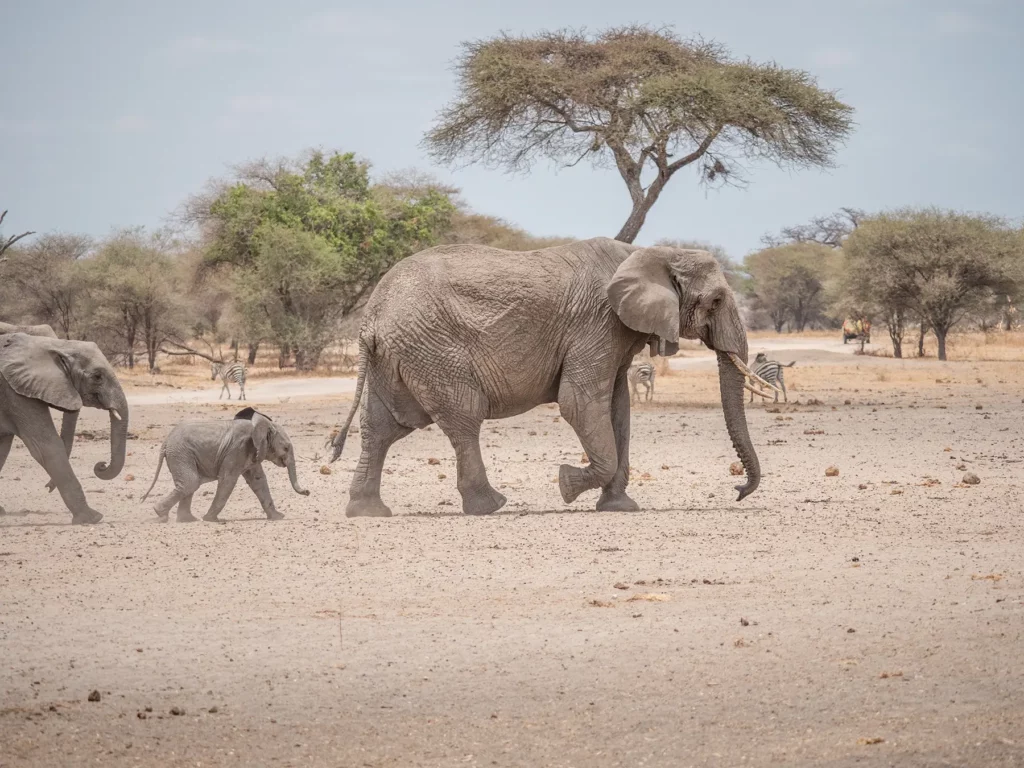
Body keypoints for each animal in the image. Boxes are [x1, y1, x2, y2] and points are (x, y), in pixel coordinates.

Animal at [0, 332, 129, 523]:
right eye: (97, 376)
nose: (101, 465)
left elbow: (2, 449)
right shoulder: (14, 393)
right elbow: (46, 447)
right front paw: (92, 518)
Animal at [141, 407, 310, 523]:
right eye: (286, 448)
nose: (307, 492)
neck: (260, 425)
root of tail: (165, 442)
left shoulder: (252, 452)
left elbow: (258, 481)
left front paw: (278, 517)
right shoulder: (238, 449)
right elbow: (228, 480)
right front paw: (210, 519)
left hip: (181, 454)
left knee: (189, 484)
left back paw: (187, 520)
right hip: (181, 454)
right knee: (191, 483)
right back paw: (161, 514)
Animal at [328, 237, 772, 518]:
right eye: (716, 300)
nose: (737, 491)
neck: (653, 252)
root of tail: (372, 316)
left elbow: (617, 408)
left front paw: (619, 508)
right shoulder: (598, 324)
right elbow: (580, 404)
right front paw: (565, 484)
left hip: (397, 355)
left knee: (382, 427)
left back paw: (367, 512)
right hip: (433, 349)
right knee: (463, 419)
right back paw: (491, 507)